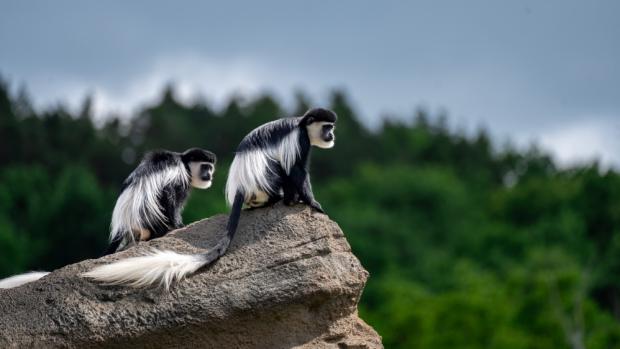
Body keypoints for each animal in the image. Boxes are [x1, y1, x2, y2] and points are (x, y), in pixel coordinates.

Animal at [0, 147, 216, 288]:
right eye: (205, 167)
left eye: (211, 168)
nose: (210, 175)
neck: (184, 163)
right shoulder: (178, 176)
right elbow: (172, 196)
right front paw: (178, 224)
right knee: (166, 195)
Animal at [81, 108, 340, 288]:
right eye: (327, 127)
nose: (331, 135)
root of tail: (241, 187)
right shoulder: (298, 141)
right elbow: (297, 169)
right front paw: (312, 202)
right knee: (281, 169)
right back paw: (286, 200)